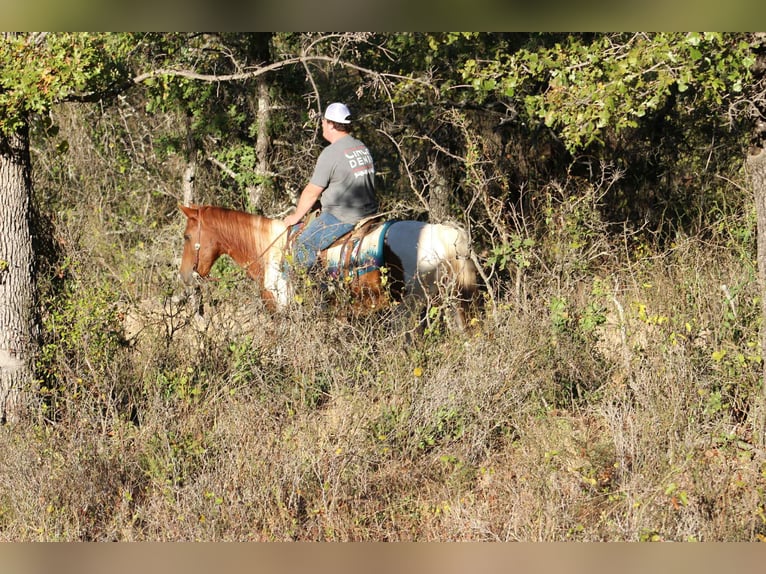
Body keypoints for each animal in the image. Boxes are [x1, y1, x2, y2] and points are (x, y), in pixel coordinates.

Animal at [178, 204, 478, 328]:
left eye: (187, 236)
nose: (184, 275)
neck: (270, 251)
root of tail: (443, 233)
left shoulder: (285, 312)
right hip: (450, 300)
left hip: (408, 306)